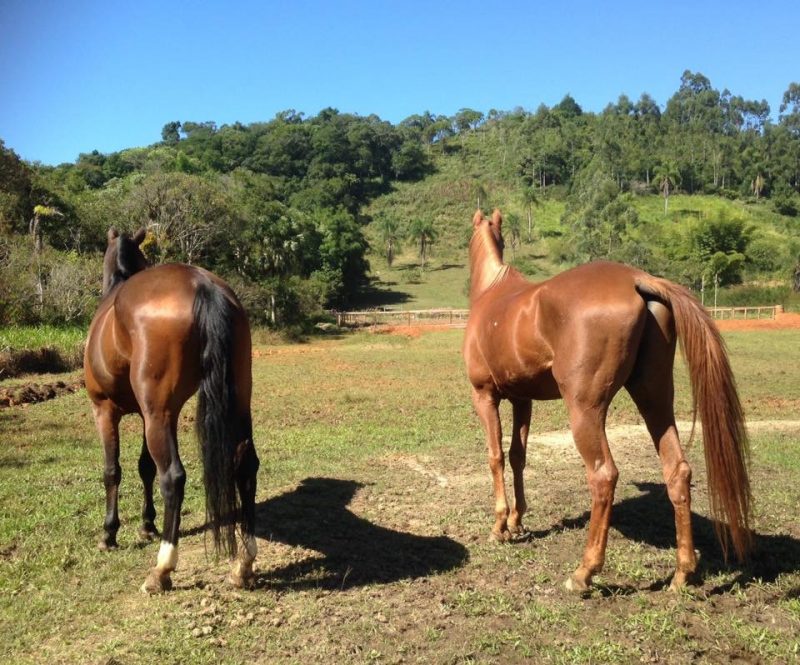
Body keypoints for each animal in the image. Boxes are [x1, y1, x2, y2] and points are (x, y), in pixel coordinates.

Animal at [84, 228, 259, 593]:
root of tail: (202, 285)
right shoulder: (150, 414)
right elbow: (144, 468)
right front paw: (147, 525)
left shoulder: (105, 410)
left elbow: (113, 470)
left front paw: (110, 533)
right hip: (233, 404)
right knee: (246, 466)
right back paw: (244, 564)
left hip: (157, 415)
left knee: (173, 477)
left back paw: (162, 569)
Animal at [463, 210, 752, 592]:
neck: (492, 295)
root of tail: (638, 280)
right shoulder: (522, 400)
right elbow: (517, 458)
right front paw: (516, 521)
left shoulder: (485, 396)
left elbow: (495, 457)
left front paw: (500, 527)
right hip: (655, 400)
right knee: (677, 470)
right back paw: (681, 574)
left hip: (585, 410)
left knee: (603, 476)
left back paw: (584, 573)